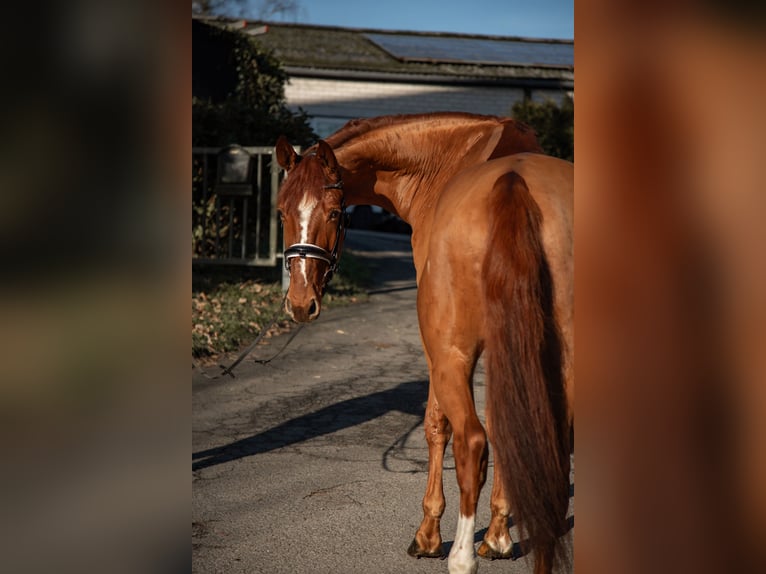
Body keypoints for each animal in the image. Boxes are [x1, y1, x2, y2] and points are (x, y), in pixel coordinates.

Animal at [278, 113, 576, 574]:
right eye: (281, 212)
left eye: (334, 212)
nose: (299, 302)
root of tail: (513, 183)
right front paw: (499, 535)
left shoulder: (439, 350)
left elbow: (438, 425)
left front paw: (429, 534)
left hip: (451, 353)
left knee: (472, 442)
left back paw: (460, 557)